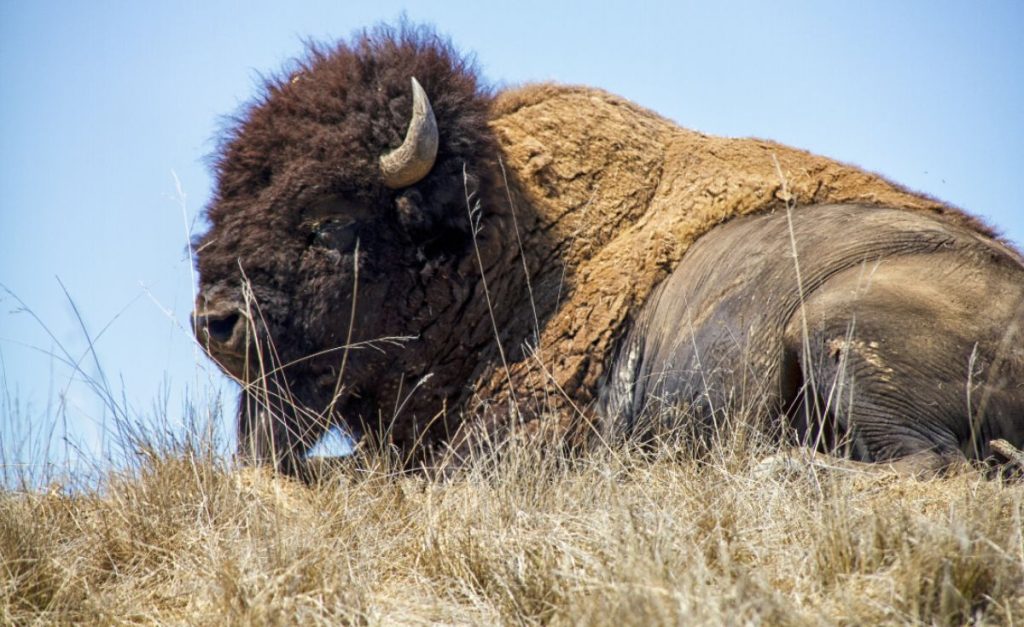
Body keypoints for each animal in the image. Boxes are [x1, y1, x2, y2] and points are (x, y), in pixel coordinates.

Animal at [193, 25, 1024, 477]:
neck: (510, 247)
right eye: (224, 205)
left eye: (330, 223)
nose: (216, 321)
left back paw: (777, 467)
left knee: (930, 460)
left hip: (835, 328)